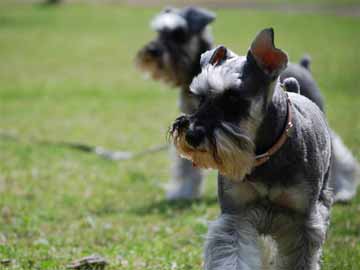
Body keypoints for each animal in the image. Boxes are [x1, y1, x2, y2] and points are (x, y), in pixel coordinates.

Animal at [170, 28, 334, 270]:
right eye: (200, 97)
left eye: (232, 98)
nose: (191, 135)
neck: (265, 154)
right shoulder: (236, 216)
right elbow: (233, 255)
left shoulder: (303, 222)